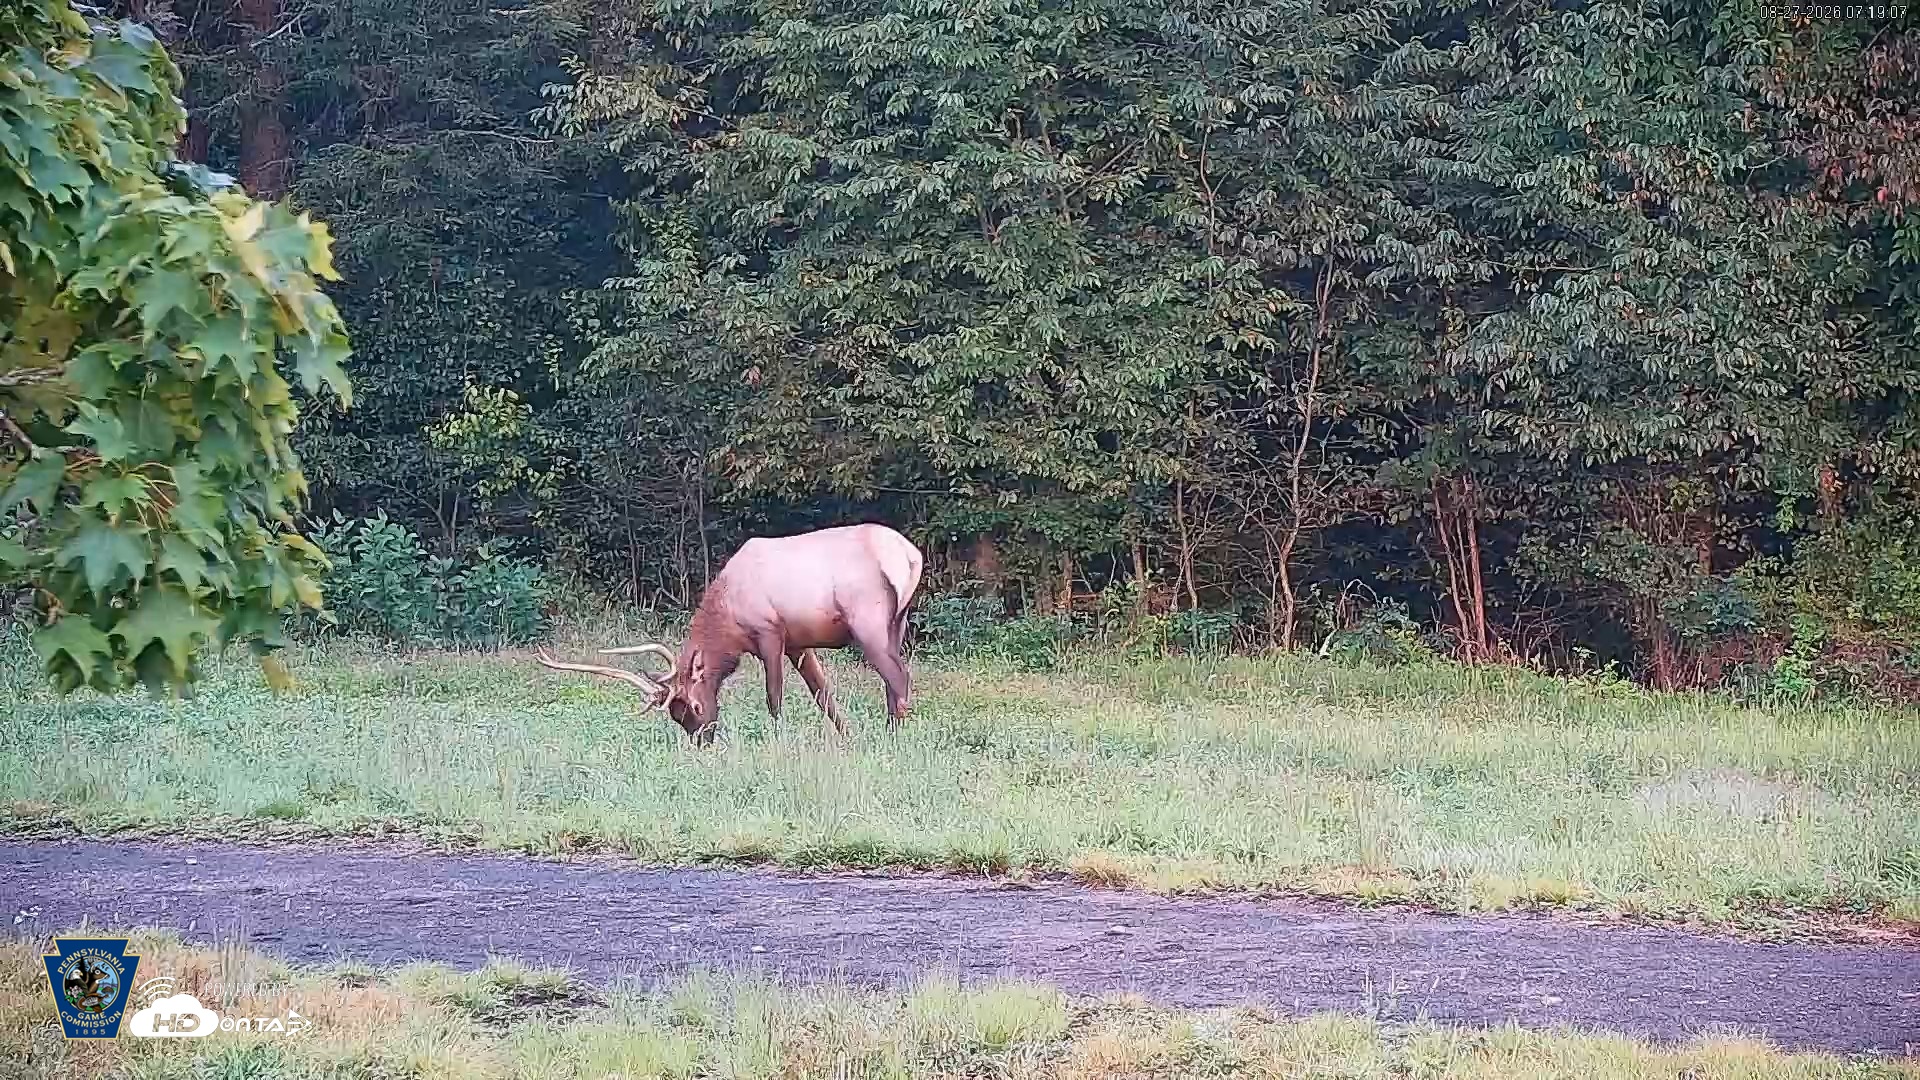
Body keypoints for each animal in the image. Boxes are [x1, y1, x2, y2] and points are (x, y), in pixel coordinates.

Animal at [535, 523, 924, 744]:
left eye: (694, 705)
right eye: (676, 715)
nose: (702, 741)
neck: (728, 620)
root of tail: (911, 557)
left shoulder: (769, 631)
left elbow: (774, 697)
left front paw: (778, 741)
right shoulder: (798, 643)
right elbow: (823, 694)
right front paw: (848, 738)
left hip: (867, 619)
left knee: (898, 676)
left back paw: (895, 739)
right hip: (897, 622)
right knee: (893, 681)